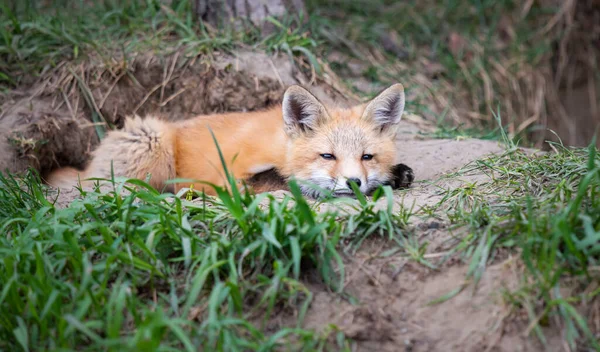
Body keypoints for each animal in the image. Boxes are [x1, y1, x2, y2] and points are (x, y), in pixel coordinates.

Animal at [45, 83, 412, 198]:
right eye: (327, 156)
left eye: (367, 157)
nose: (353, 183)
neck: (281, 146)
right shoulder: (233, 178)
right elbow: (280, 180)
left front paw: (396, 175)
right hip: (152, 138)